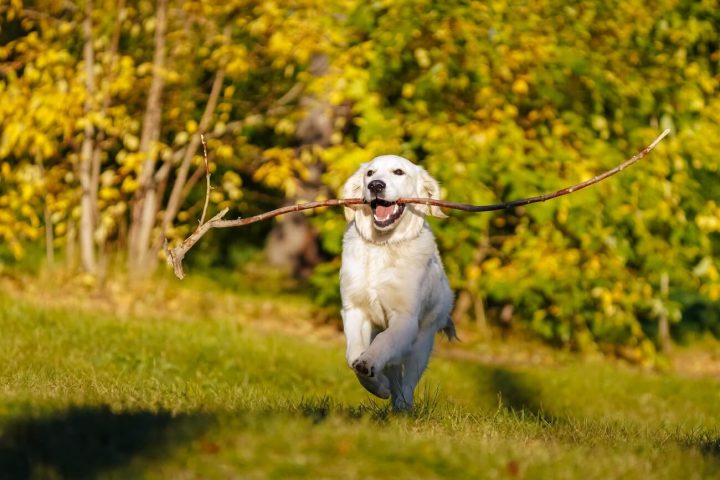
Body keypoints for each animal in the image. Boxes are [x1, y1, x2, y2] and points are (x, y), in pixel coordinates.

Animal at [338, 156, 452, 410]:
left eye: (398, 172)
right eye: (370, 173)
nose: (375, 186)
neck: (383, 245)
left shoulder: (405, 318)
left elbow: (383, 343)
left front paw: (369, 363)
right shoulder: (354, 310)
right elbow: (352, 356)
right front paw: (377, 385)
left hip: (423, 340)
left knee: (408, 381)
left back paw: (404, 407)